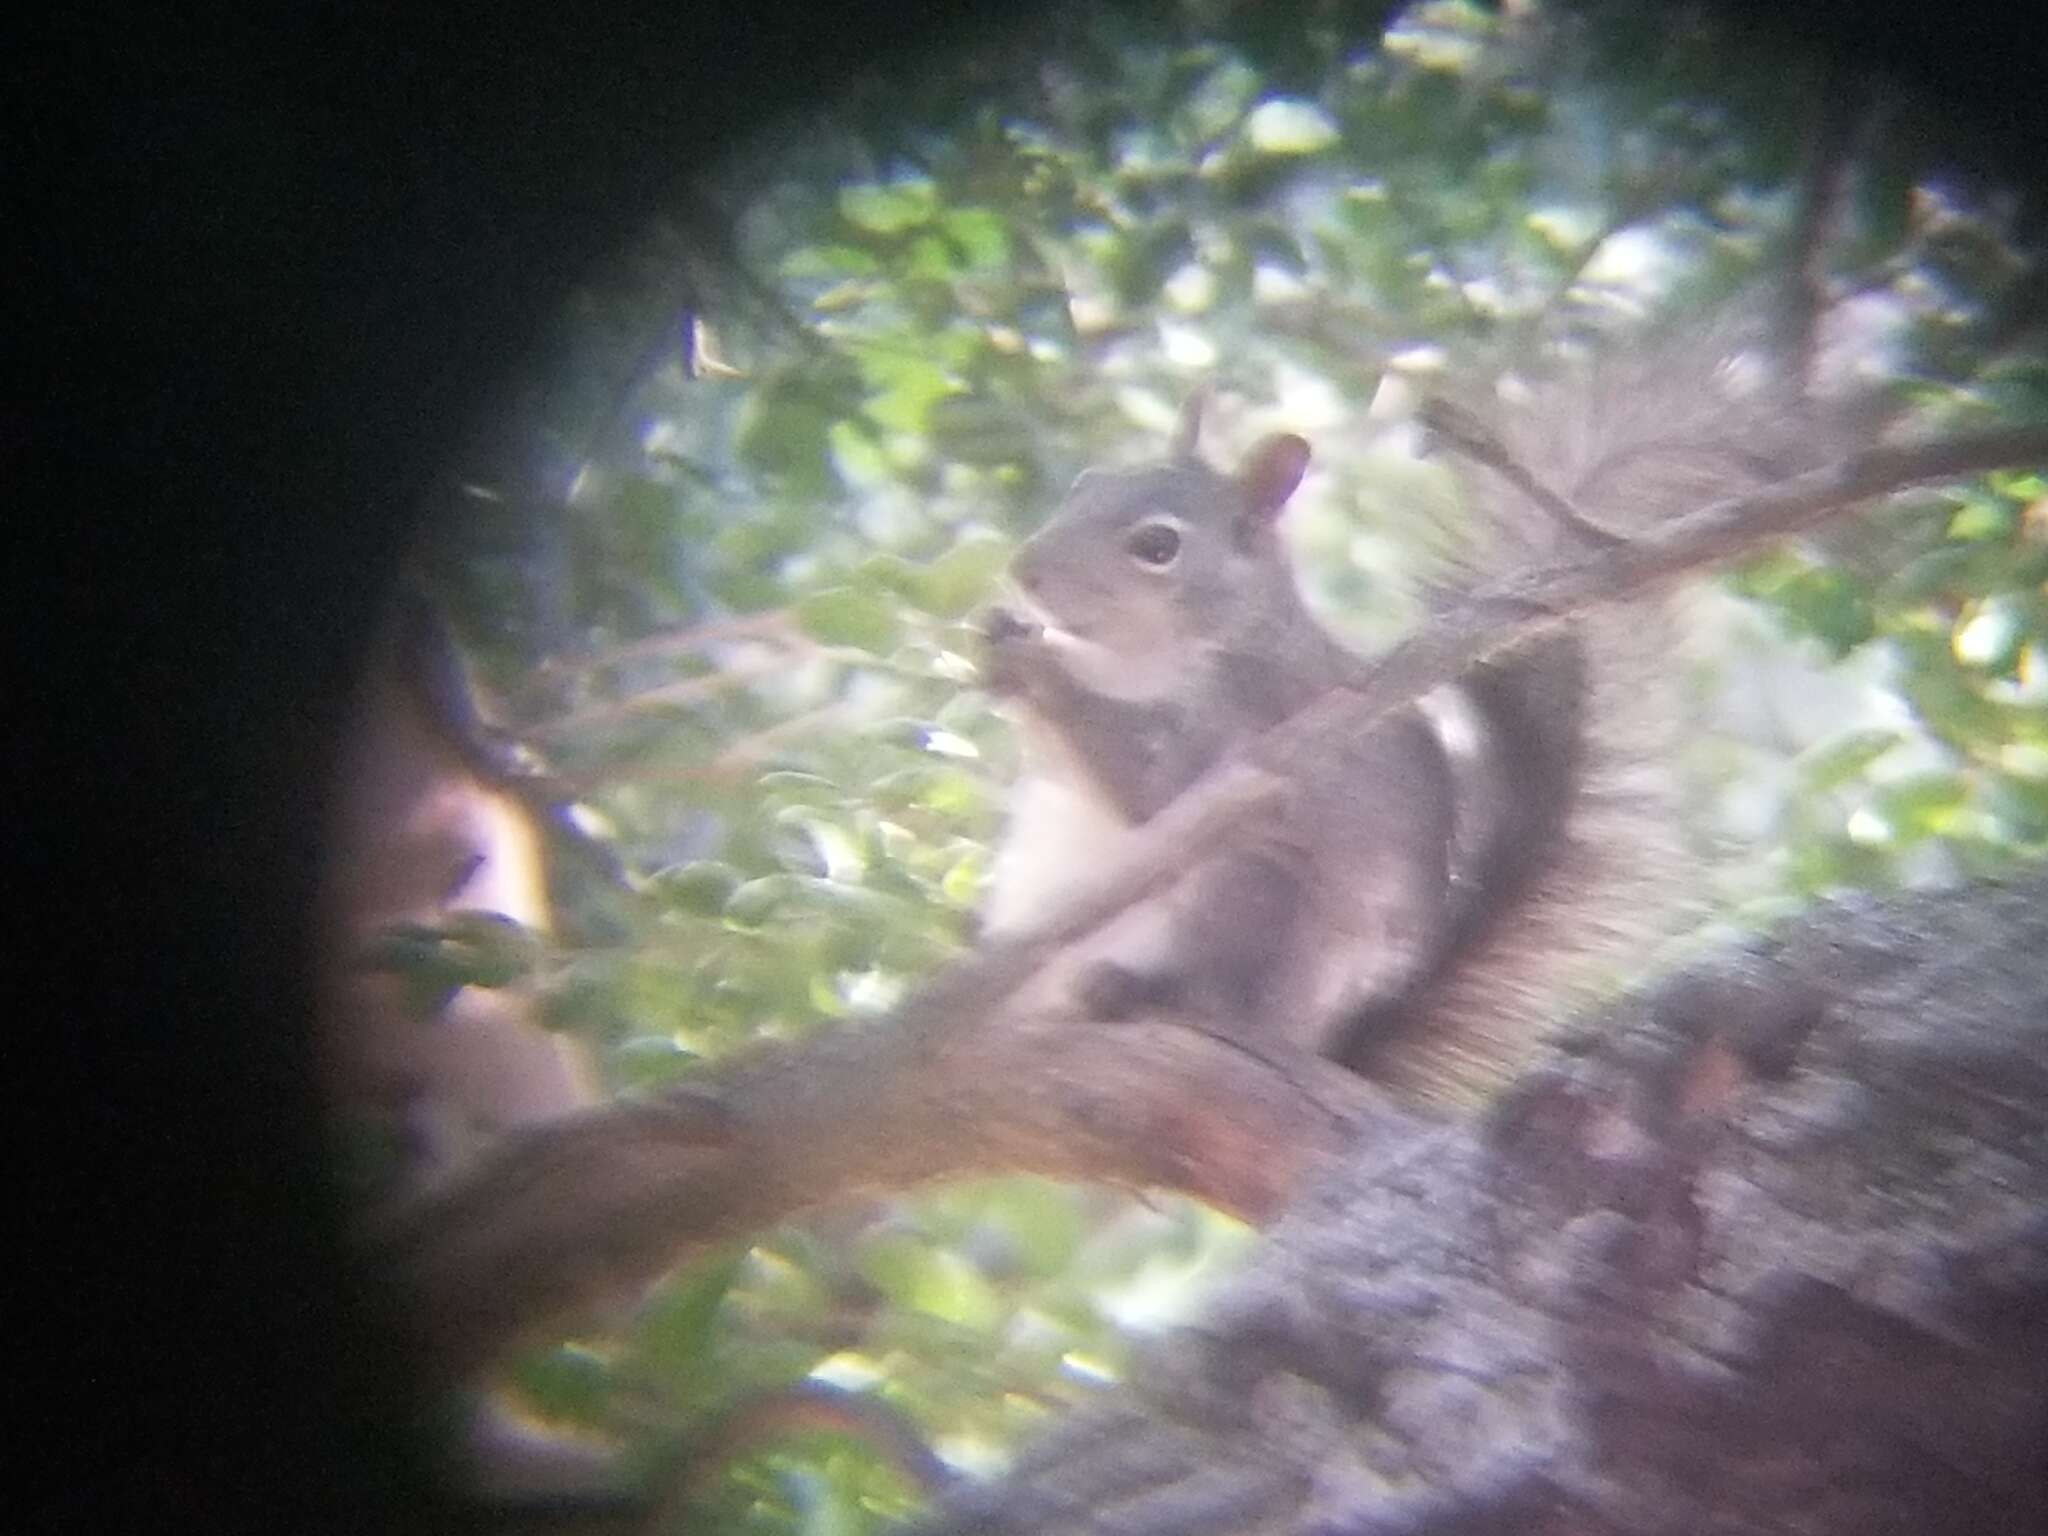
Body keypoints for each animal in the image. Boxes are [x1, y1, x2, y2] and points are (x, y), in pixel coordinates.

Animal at [983, 358, 1835, 1105]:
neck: (1148, 651)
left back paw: (1138, 990)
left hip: (1256, 899)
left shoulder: (1250, 727)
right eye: (1088, 483)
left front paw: (1038, 665)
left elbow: (1158, 789)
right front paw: (998, 648)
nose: (1023, 568)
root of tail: (1321, 1041)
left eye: (1157, 547)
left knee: (1220, 997)